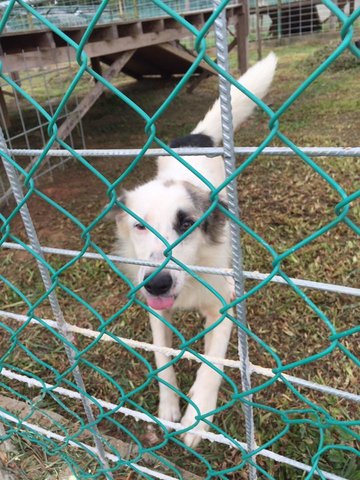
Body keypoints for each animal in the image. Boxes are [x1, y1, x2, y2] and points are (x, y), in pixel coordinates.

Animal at [111, 54, 278, 448]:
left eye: (186, 223)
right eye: (140, 226)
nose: (157, 283)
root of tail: (194, 138)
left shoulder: (225, 302)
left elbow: (212, 365)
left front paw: (197, 418)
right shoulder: (156, 310)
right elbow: (162, 357)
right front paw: (169, 408)